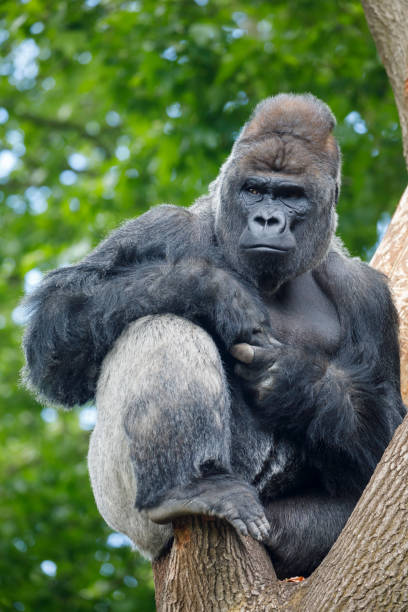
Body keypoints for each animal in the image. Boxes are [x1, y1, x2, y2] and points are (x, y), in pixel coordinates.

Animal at [23, 94, 406, 580]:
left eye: (291, 196)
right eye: (255, 190)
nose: (268, 219)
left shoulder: (367, 292)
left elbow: (386, 430)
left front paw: (298, 381)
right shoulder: (162, 225)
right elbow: (57, 328)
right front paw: (209, 288)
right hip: (133, 521)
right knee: (159, 323)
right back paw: (188, 487)